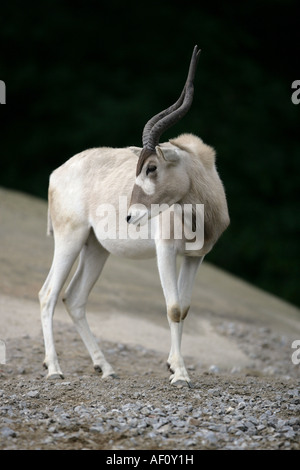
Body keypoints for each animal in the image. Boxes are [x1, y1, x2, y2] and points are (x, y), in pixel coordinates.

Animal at [38, 46, 229, 388]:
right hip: (69, 238)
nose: (130, 216)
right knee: (48, 294)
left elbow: (185, 308)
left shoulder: (195, 257)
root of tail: (57, 173)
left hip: (95, 248)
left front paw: (173, 367)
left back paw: (106, 368)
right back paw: (55, 368)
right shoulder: (165, 251)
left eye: (151, 167)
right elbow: (173, 307)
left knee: (74, 297)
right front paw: (180, 374)